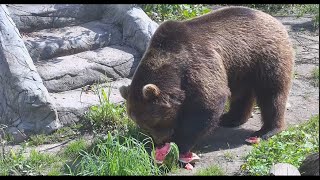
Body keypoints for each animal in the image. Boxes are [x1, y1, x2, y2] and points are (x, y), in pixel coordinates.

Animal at [119, 6, 292, 154]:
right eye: (141, 124)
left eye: (153, 121)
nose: (159, 141)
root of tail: (273, 19)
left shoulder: (197, 62)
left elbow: (208, 102)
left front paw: (180, 144)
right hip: (241, 66)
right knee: (242, 94)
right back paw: (230, 118)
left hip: (265, 56)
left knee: (271, 93)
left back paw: (267, 130)